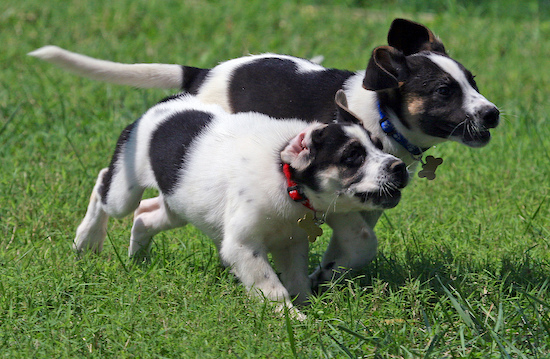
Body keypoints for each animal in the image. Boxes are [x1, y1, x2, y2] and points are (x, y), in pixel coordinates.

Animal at [32, 19, 502, 290]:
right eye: (444, 91)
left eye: (474, 81)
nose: (493, 114)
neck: (379, 114)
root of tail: (200, 74)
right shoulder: (341, 201)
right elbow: (359, 242)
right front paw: (317, 279)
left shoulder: (365, 205)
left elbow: (351, 247)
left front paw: (324, 276)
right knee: (106, 183)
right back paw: (87, 238)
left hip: (183, 190)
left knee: (151, 209)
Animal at [73, 91, 410, 316]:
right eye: (352, 157)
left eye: (378, 146)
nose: (399, 168)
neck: (285, 178)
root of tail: (162, 104)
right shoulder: (243, 247)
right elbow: (273, 288)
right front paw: (293, 319)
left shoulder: (291, 243)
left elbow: (297, 280)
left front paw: (307, 307)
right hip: (124, 191)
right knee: (103, 186)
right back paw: (87, 239)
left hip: (179, 205)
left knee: (145, 215)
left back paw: (138, 258)